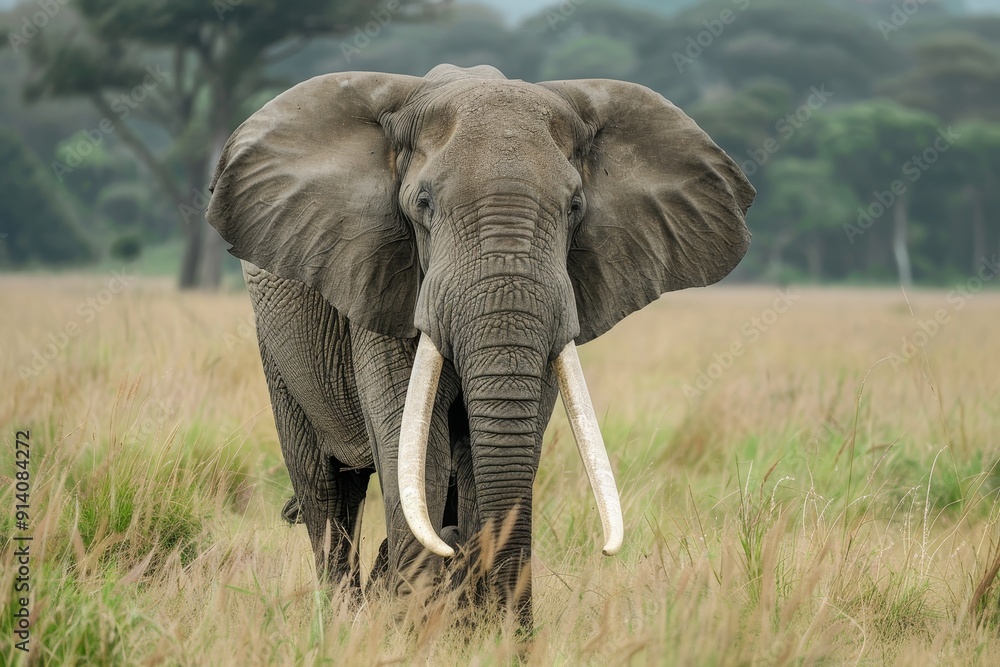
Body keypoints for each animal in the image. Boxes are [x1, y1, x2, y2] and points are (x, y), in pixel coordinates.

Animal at [206, 64, 753, 627]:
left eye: (575, 206)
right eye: (423, 204)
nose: (518, 632)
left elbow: (499, 448)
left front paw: (480, 630)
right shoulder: (387, 281)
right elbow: (415, 446)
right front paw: (414, 627)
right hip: (276, 339)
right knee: (325, 488)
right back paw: (342, 618)